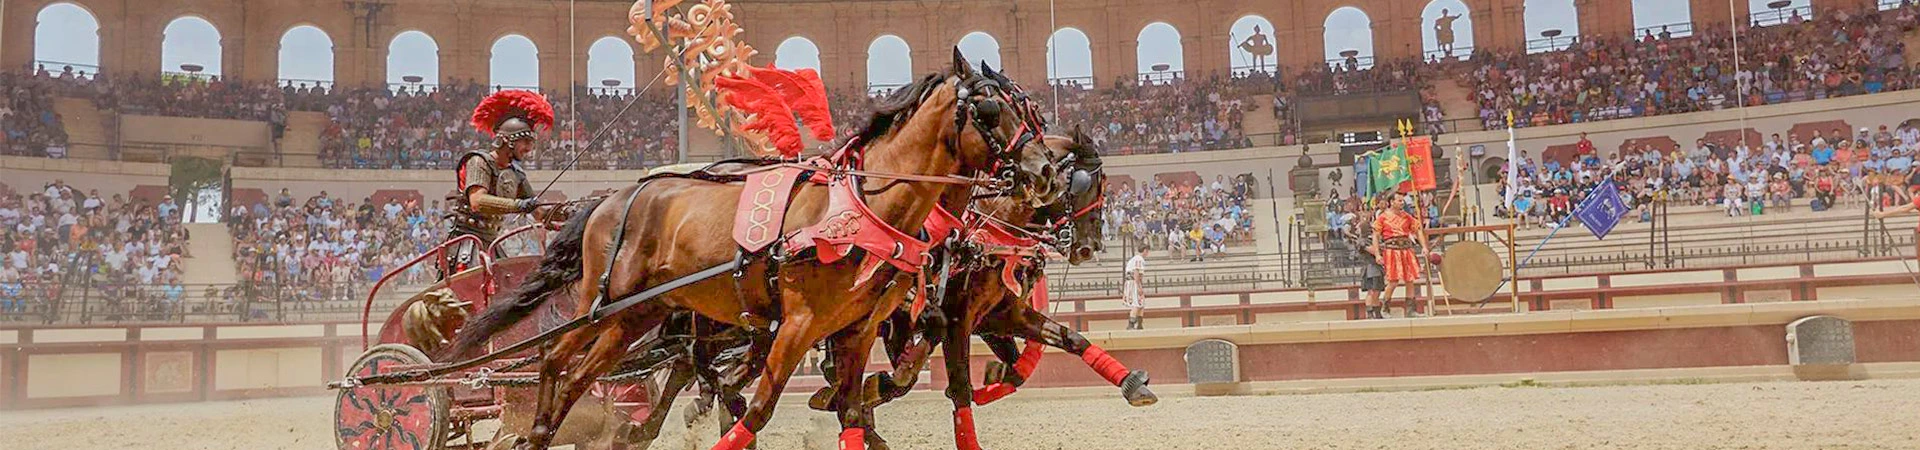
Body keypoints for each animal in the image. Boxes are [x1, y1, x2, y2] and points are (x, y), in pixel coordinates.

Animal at [441, 52, 1059, 450]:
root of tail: (608, 199)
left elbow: (852, 411)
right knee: (555, 358)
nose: (1045, 172)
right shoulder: (800, 324)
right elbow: (760, 410)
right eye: (989, 111)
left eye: (1030, 110)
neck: (863, 209)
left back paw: (550, 431)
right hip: (605, 301)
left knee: (577, 376)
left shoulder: (856, 330)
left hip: (636, 315)